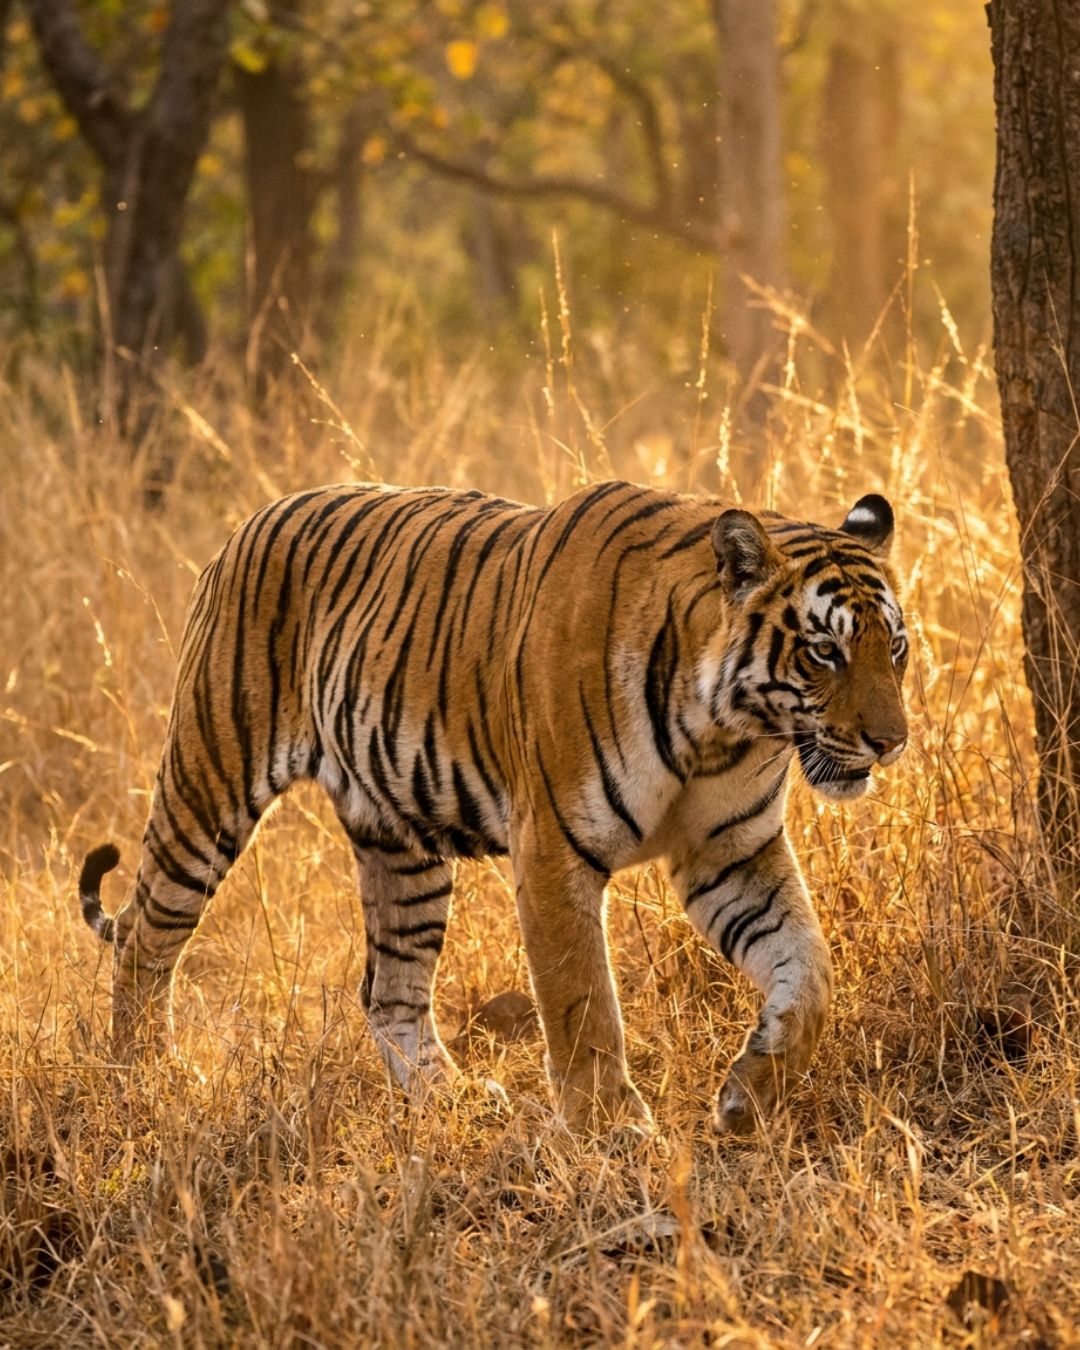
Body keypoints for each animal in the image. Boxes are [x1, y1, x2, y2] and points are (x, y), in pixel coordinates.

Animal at [78, 480, 908, 1135]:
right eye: (825, 652)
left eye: (894, 648)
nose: (892, 741)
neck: (725, 729)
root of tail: (252, 519)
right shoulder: (553, 851)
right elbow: (582, 1002)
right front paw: (611, 1130)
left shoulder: (730, 851)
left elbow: (808, 969)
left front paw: (751, 1091)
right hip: (207, 782)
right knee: (144, 939)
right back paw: (144, 1082)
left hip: (399, 843)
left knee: (389, 991)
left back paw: (453, 1101)